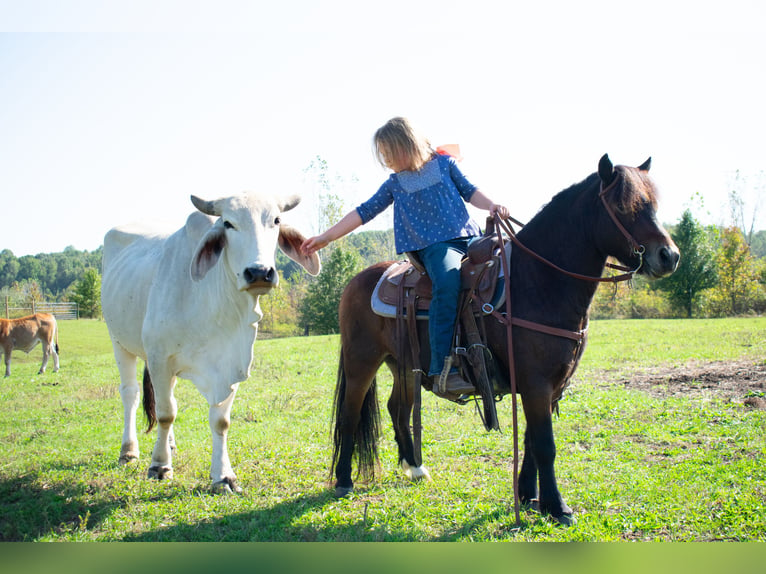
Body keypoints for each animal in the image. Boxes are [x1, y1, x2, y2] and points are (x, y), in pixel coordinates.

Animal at [100, 195, 320, 496]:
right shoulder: (159, 359)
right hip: (119, 341)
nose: (259, 272)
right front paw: (159, 466)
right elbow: (166, 413)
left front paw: (223, 476)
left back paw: (170, 445)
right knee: (131, 395)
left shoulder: (231, 364)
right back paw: (129, 451)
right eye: (227, 223)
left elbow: (220, 421)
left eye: (276, 220)